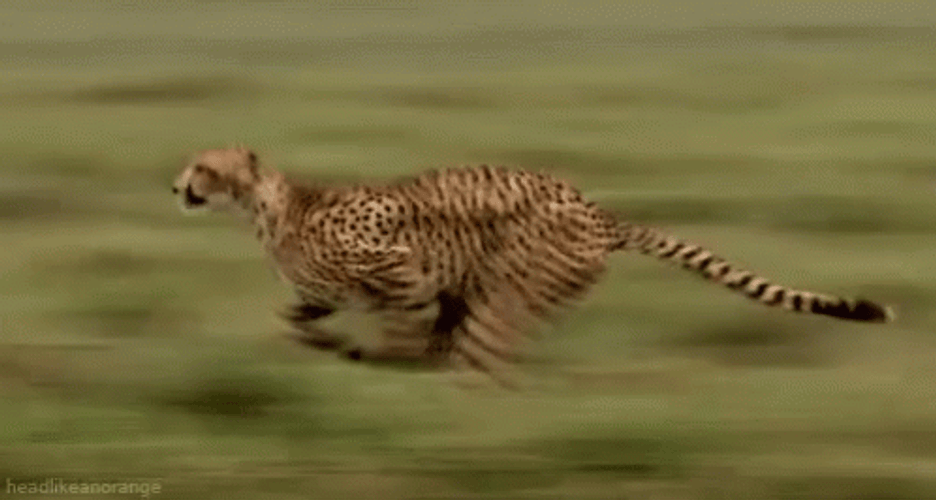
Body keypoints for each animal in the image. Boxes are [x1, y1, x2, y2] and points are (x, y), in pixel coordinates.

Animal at [172, 146, 895, 388]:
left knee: (482, 361)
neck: (268, 207)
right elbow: (295, 319)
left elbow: (401, 329)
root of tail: (600, 212)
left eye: (205, 166)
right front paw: (330, 347)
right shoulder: (328, 293)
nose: (177, 186)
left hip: (510, 287)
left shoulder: (405, 271)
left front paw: (382, 363)